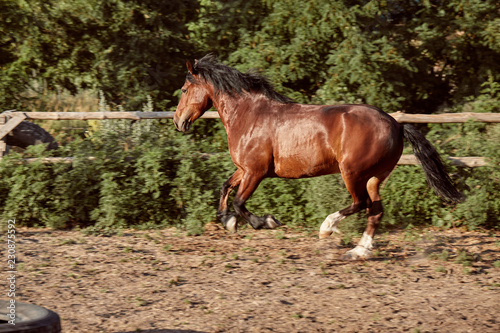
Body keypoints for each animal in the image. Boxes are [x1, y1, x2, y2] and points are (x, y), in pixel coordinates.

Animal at [174, 54, 462, 258]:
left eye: (184, 90)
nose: (178, 122)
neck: (249, 115)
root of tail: (397, 125)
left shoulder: (256, 172)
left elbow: (239, 202)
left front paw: (266, 222)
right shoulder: (244, 169)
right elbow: (225, 188)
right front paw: (228, 222)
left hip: (352, 172)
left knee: (361, 204)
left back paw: (327, 228)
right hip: (375, 176)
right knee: (376, 211)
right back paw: (358, 251)